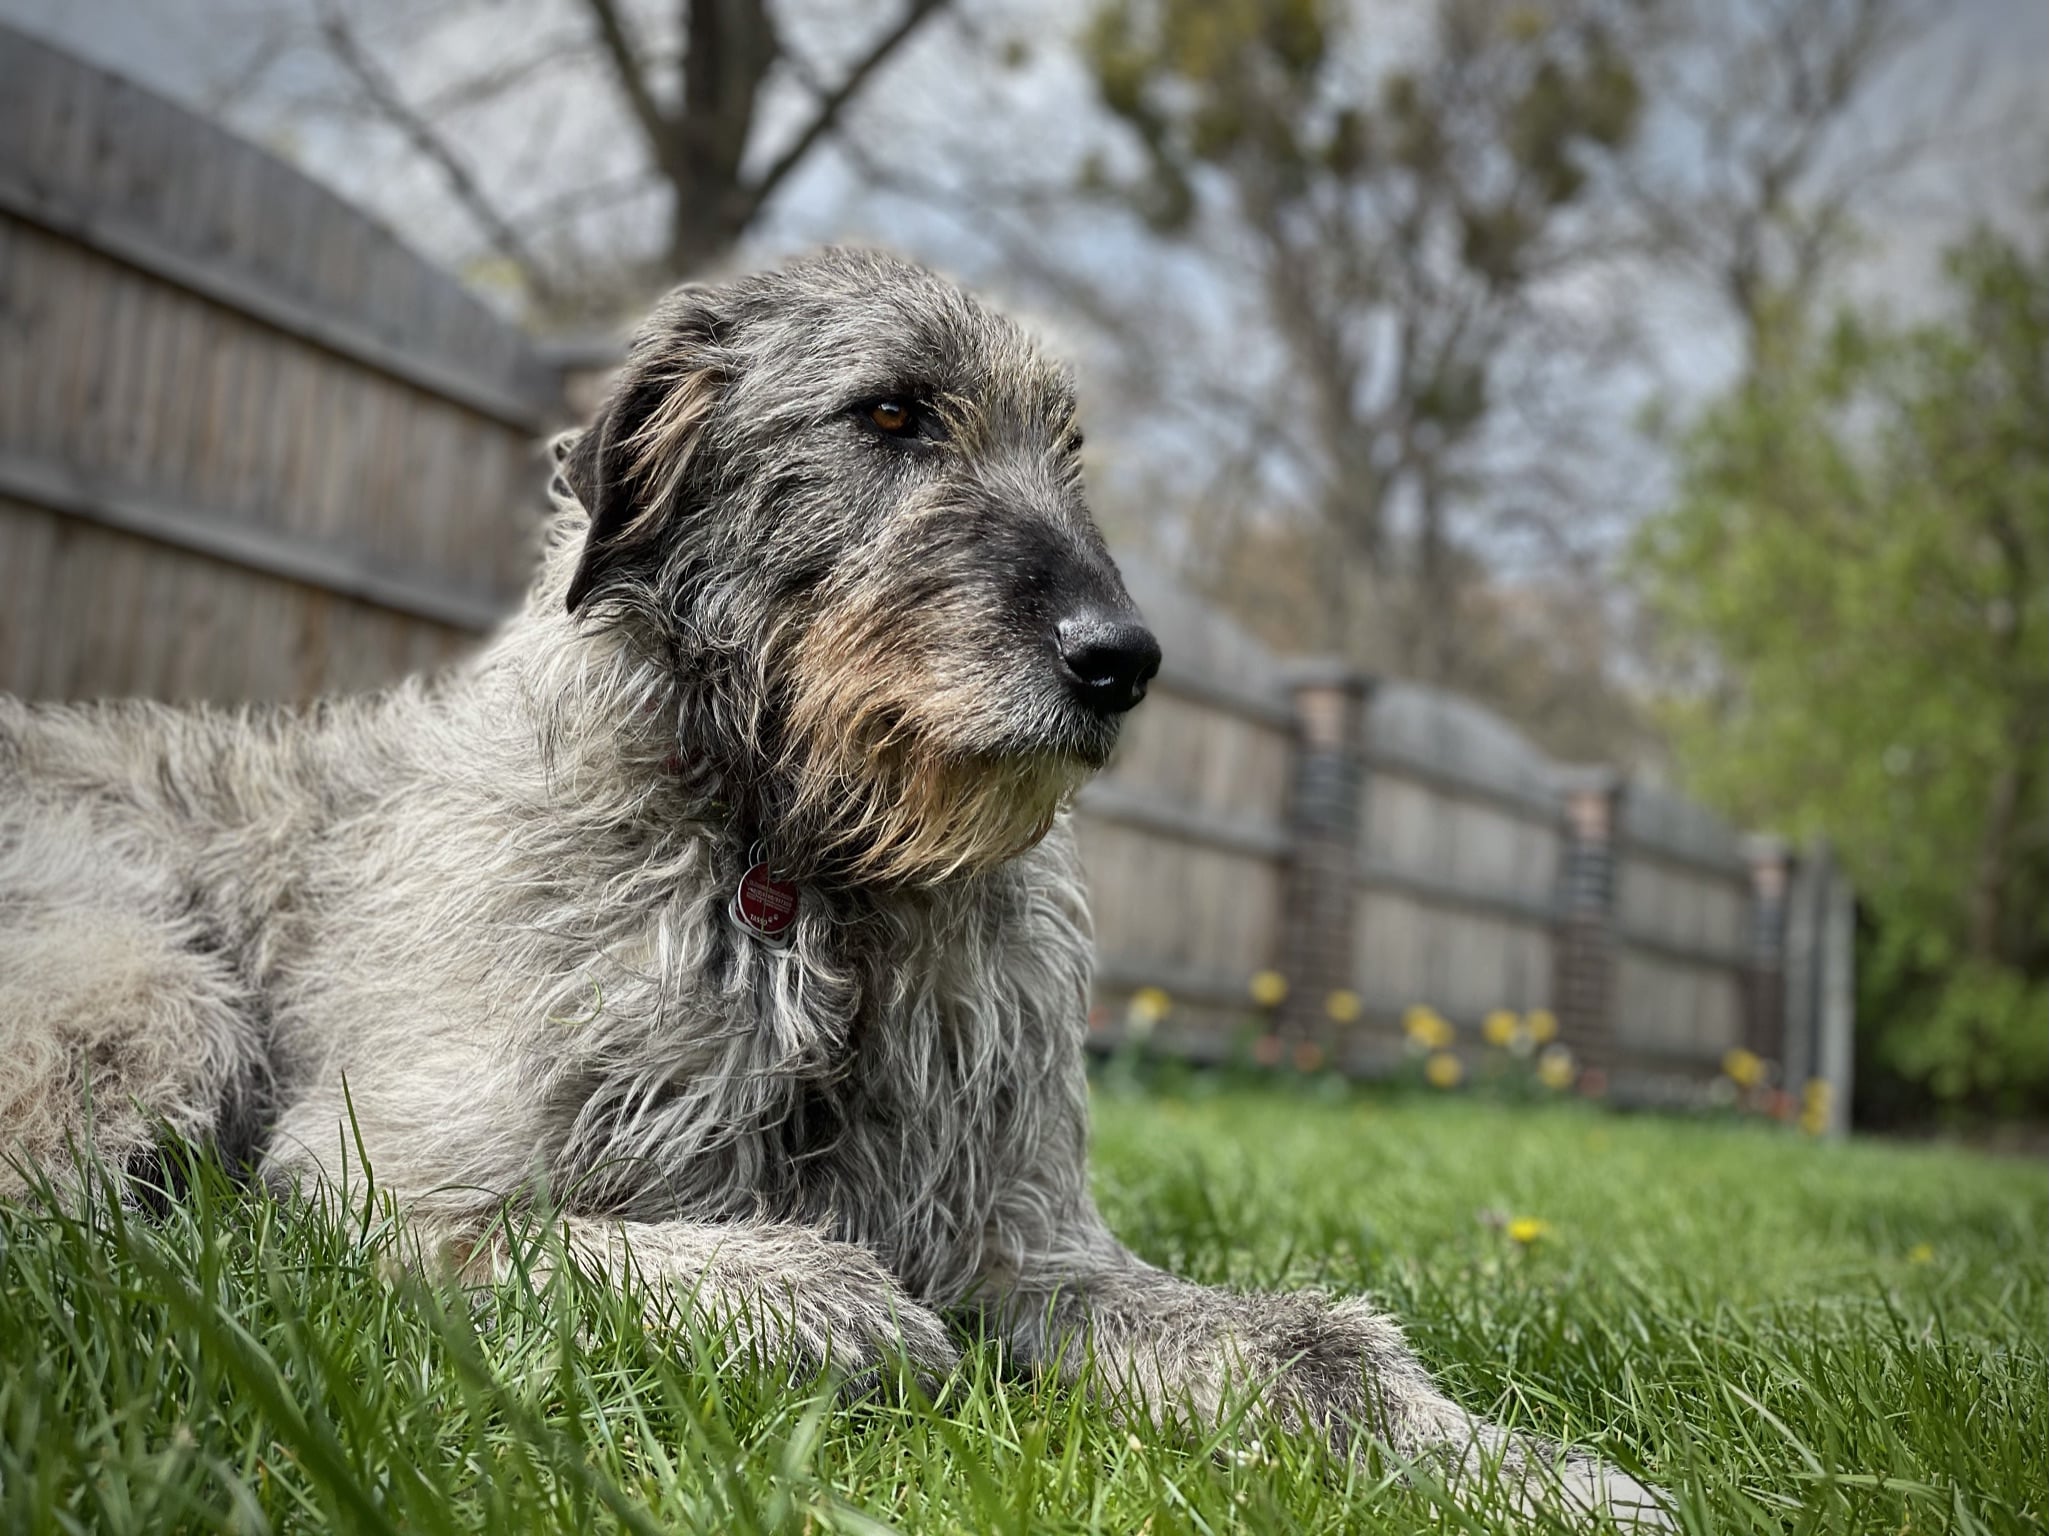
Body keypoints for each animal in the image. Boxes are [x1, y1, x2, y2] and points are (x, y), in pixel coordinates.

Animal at [0, 252, 1663, 1531]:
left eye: (1067, 451)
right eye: (890, 413)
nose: (1121, 660)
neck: (805, 878)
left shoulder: (1024, 1245)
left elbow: (1310, 1345)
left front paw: (1518, 1470)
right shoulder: (370, 1190)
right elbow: (521, 1233)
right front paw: (816, 1301)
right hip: (149, 991)